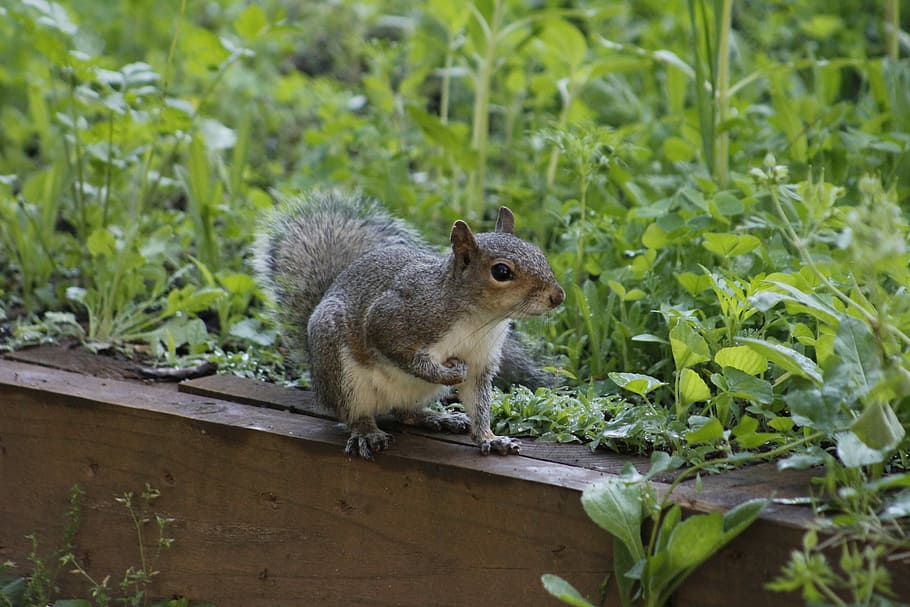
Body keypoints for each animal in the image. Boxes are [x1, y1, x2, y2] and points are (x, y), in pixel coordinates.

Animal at [249, 192, 564, 464]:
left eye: (539, 252)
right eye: (501, 271)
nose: (558, 296)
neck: (481, 320)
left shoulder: (481, 363)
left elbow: (478, 402)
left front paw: (489, 437)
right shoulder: (393, 319)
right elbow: (402, 353)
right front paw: (448, 373)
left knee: (405, 413)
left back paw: (438, 418)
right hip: (343, 375)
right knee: (354, 413)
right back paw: (367, 432)